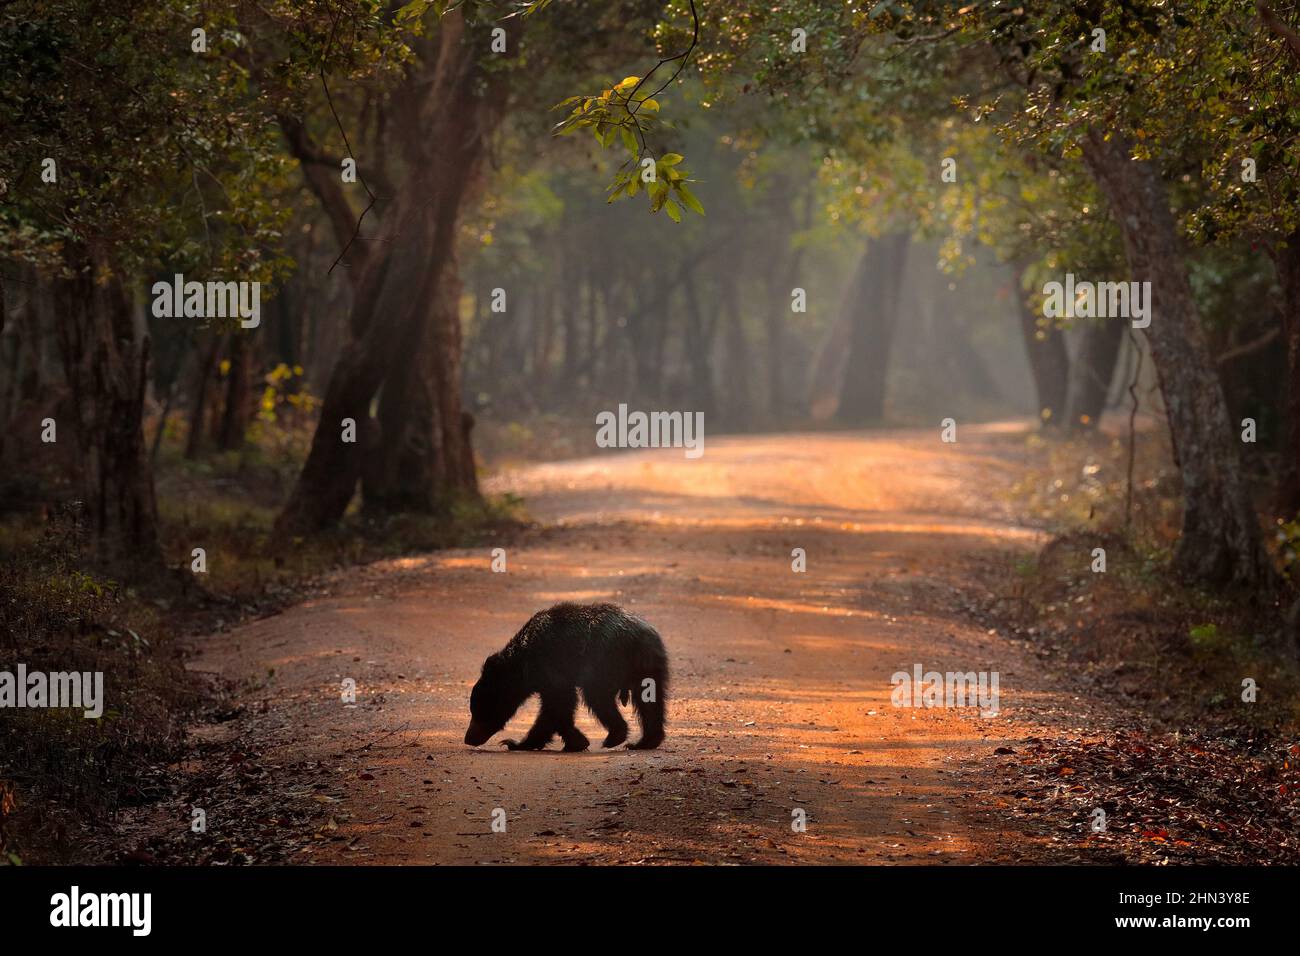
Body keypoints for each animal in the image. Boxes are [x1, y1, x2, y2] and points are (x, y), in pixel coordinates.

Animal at [463, 602, 668, 751]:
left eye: (479, 712)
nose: (468, 738)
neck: (522, 664)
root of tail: (640, 636)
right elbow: (558, 706)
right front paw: (575, 742)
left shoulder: (551, 666)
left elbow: (558, 704)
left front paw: (514, 743)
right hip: (648, 667)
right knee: (650, 703)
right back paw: (644, 742)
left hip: (604, 661)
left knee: (598, 697)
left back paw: (615, 737)